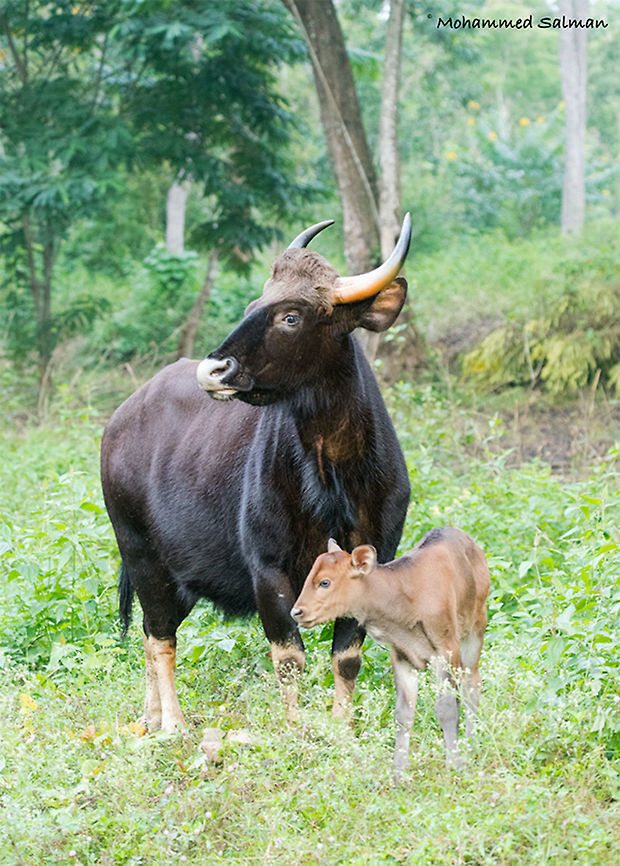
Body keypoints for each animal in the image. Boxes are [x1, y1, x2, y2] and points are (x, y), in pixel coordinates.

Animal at [100, 215, 412, 733]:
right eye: (252, 306)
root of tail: (119, 420)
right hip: (141, 555)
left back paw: (151, 717)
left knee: (149, 633)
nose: (214, 369)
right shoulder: (268, 569)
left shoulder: (372, 558)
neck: (331, 476)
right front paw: (296, 732)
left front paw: (342, 733)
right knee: (161, 637)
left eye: (291, 316)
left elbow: (346, 657)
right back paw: (174, 725)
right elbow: (289, 657)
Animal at [291, 528, 490, 776]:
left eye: (325, 582)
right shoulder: (402, 656)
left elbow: (447, 707)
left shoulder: (446, 649)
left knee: (472, 684)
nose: (296, 612)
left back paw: (472, 747)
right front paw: (398, 773)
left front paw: (454, 765)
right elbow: (403, 714)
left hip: (475, 629)